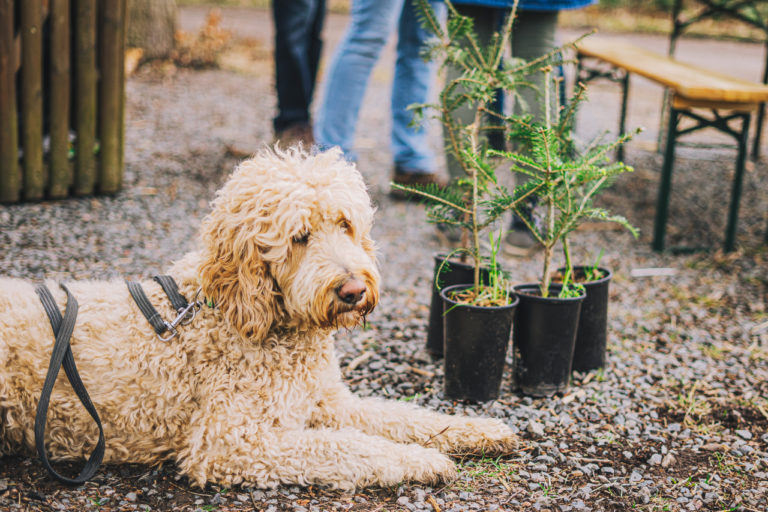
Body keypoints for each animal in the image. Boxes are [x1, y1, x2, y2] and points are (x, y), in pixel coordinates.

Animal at [1, 147, 516, 488]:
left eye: (345, 224)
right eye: (299, 237)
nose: (353, 290)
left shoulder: (328, 402)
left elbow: (403, 416)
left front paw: (480, 430)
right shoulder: (231, 441)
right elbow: (344, 445)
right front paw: (421, 461)